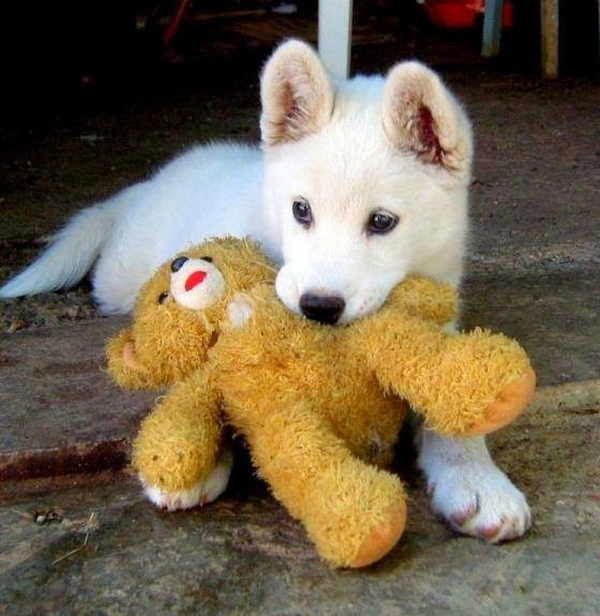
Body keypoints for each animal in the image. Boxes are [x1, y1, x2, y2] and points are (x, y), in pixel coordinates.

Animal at [3, 39, 528, 540]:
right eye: (301, 210)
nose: (318, 306)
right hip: (120, 274)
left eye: (382, 222)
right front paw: (197, 461)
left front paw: (478, 481)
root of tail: (148, 186)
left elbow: (450, 404)